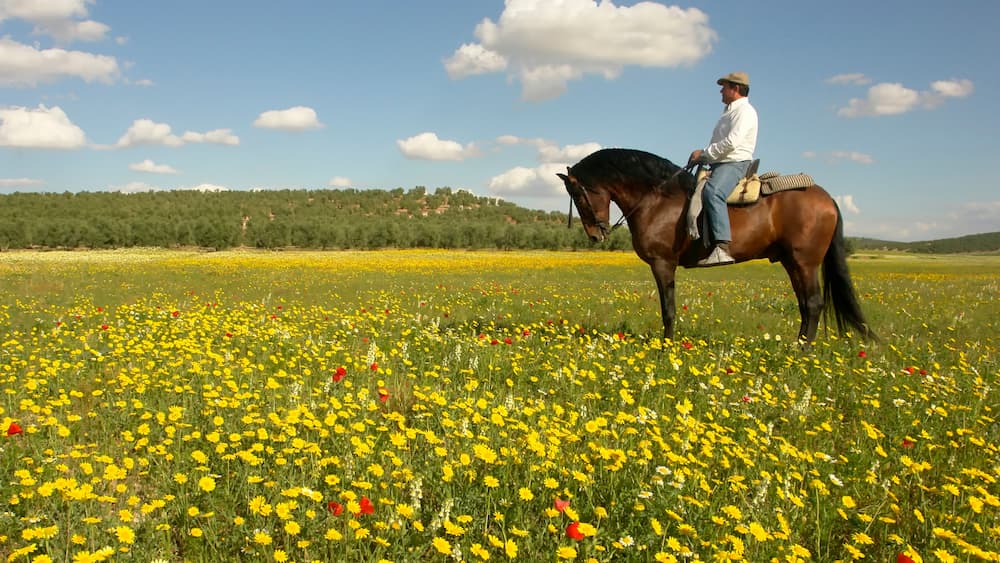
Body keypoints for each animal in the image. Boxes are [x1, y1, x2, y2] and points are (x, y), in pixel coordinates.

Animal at [557, 148, 875, 342]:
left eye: (579, 195)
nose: (595, 234)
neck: (657, 199)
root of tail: (827, 198)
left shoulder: (663, 264)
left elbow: (668, 309)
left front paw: (666, 347)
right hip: (791, 262)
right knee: (805, 305)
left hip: (805, 262)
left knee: (814, 303)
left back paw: (803, 351)